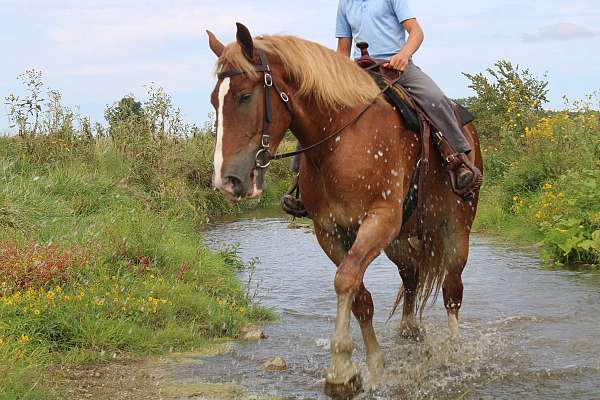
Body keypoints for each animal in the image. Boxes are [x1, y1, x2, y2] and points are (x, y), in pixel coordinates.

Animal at [206, 23, 482, 398]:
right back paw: (409, 328)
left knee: (452, 290)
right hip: (401, 239)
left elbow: (345, 280)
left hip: (455, 228)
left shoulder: (379, 219)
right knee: (411, 276)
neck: (342, 138)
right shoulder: (330, 230)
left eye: (245, 96)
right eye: (213, 101)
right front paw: (371, 368)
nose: (226, 180)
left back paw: (454, 352)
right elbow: (359, 296)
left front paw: (339, 371)